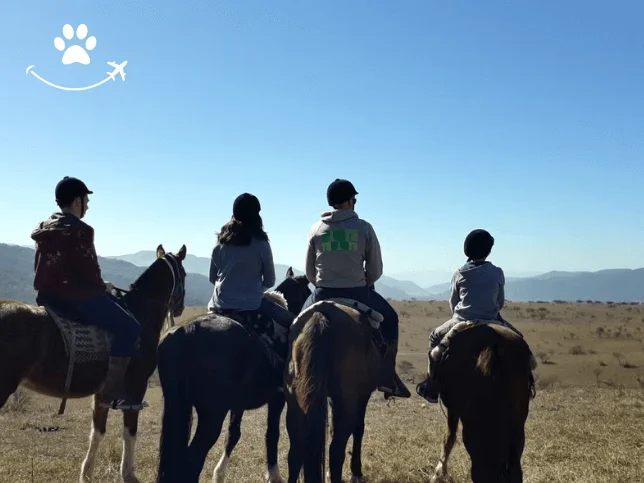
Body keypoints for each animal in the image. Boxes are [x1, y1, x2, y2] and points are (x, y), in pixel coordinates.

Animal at [0, 244, 187, 483]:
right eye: (184, 274)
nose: (180, 307)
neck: (140, 314)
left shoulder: (102, 394)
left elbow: (97, 431)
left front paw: (86, 473)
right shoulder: (136, 388)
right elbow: (130, 430)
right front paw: (128, 474)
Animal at [155, 267, 312, 483]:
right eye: (308, 291)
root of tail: (188, 330)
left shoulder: (238, 405)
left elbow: (233, 434)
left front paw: (219, 474)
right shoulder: (278, 399)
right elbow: (272, 434)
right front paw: (274, 475)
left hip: (177, 406)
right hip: (212, 415)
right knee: (192, 461)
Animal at [284, 299, 388, 483]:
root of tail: (321, 318)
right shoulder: (362, 396)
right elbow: (359, 428)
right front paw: (356, 471)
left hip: (294, 402)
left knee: (296, 450)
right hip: (348, 402)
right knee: (336, 451)